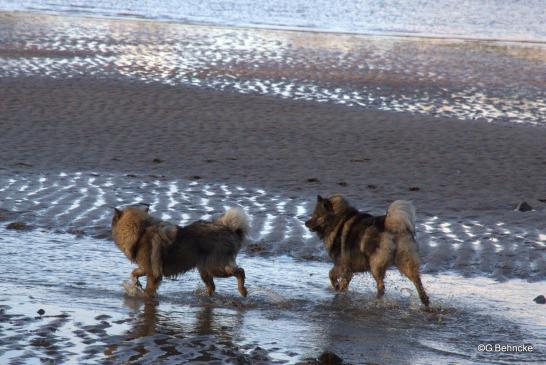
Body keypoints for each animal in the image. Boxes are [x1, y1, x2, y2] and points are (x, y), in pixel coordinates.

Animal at [111, 203, 248, 298]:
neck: (141, 231)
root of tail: (231, 230)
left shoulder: (153, 273)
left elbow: (148, 289)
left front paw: (144, 296)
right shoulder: (147, 267)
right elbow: (134, 272)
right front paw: (136, 284)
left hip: (215, 267)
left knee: (240, 271)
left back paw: (242, 290)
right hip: (205, 270)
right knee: (212, 287)